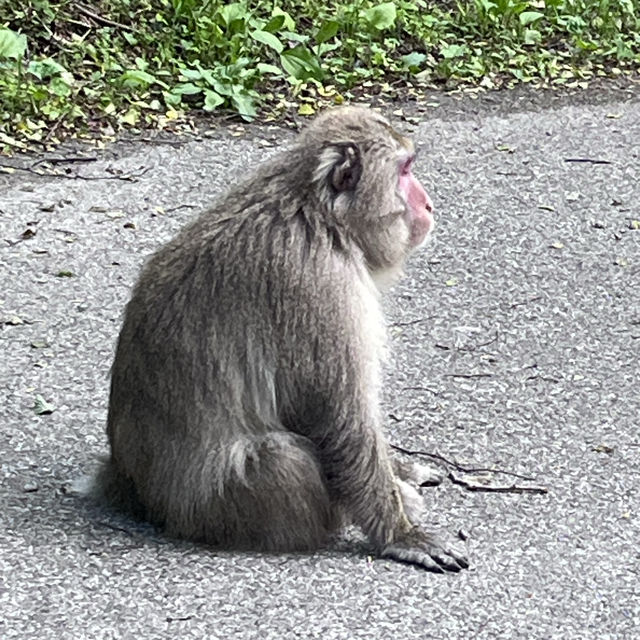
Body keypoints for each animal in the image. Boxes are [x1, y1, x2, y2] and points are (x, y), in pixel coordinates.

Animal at [99, 107, 470, 572]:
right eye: (404, 171)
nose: (428, 203)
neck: (321, 217)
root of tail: (127, 484)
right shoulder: (321, 287)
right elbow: (337, 417)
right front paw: (400, 532)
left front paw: (398, 474)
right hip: (217, 507)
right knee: (286, 460)